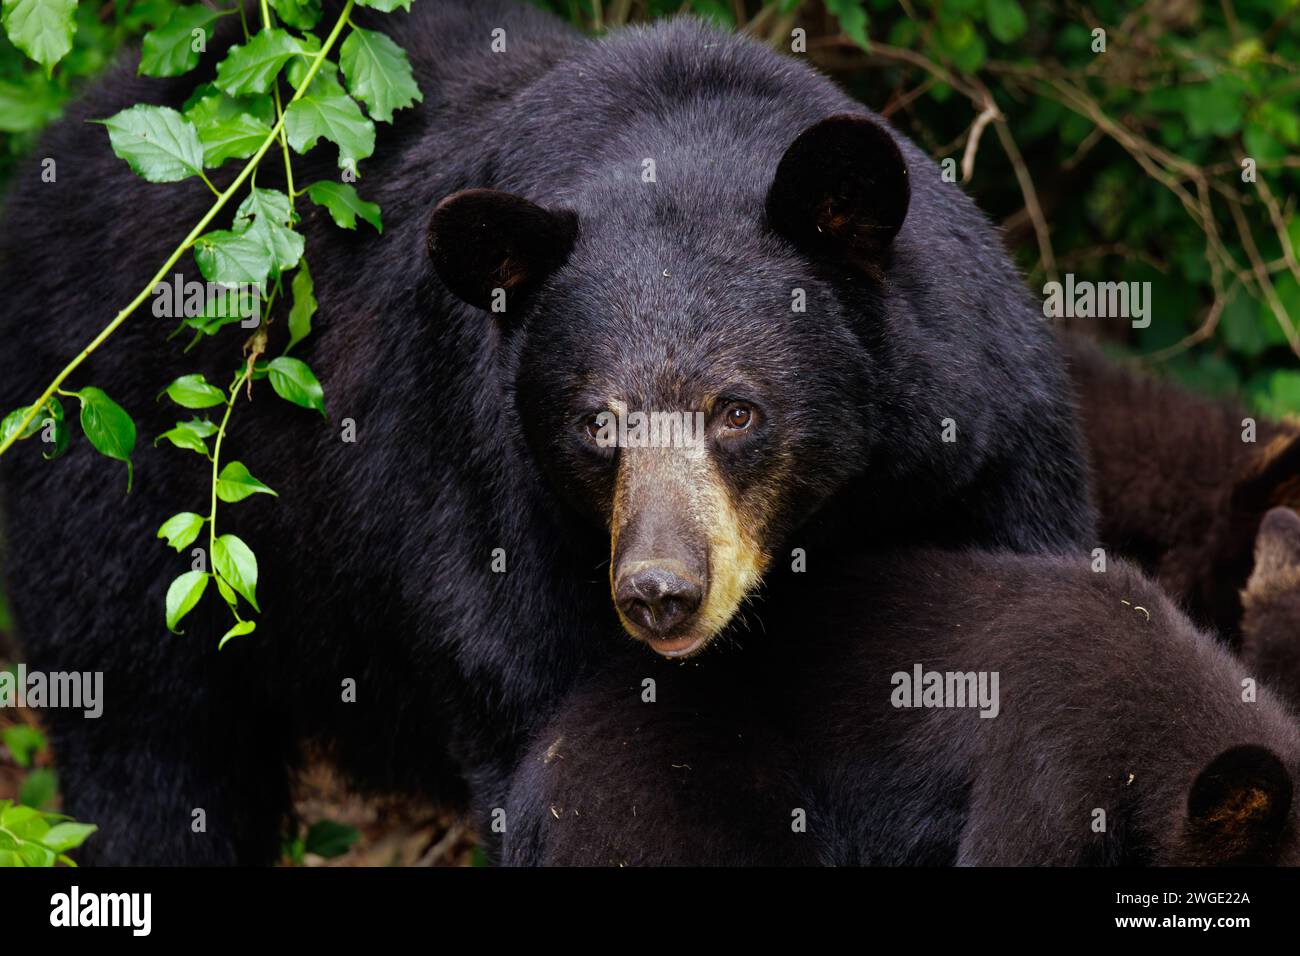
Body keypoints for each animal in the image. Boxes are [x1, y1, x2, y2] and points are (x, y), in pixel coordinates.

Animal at [0, 1, 1092, 864]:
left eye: (737, 410)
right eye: (595, 421)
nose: (659, 592)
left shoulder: (980, 452)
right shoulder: (488, 503)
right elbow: (570, 752)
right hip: (121, 494)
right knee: (151, 744)